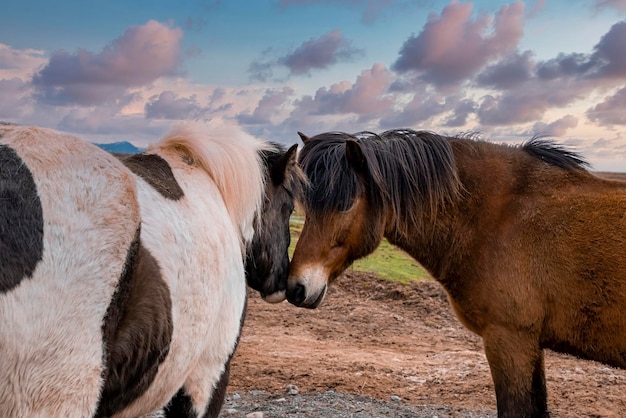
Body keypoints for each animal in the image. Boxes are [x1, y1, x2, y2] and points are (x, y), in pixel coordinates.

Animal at [286, 129, 624, 416]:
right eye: (304, 206)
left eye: (345, 203)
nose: (296, 288)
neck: (498, 218)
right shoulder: (530, 344)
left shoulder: (510, 340)